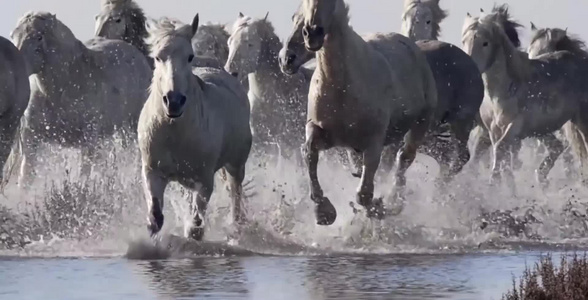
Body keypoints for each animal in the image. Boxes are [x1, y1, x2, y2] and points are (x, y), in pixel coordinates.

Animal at [141, 14, 254, 241]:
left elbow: (195, 228)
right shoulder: (152, 171)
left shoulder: (204, 181)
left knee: (235, 195)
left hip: (236, 166)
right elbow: (155, 218)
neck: (174, 132)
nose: (174, 101)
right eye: (157, 57)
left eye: (190, 56)